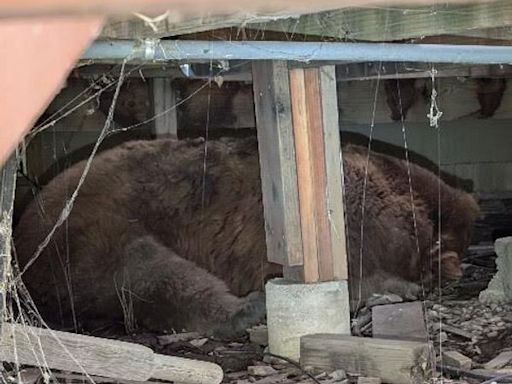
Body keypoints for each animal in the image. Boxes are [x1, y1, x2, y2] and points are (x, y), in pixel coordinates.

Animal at [15, 136, 480, 338]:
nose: (459, 264)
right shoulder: (353, 216)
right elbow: (358, 271)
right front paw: (399, 285)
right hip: (96, 225)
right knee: (147, 271)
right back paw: (247, 309)